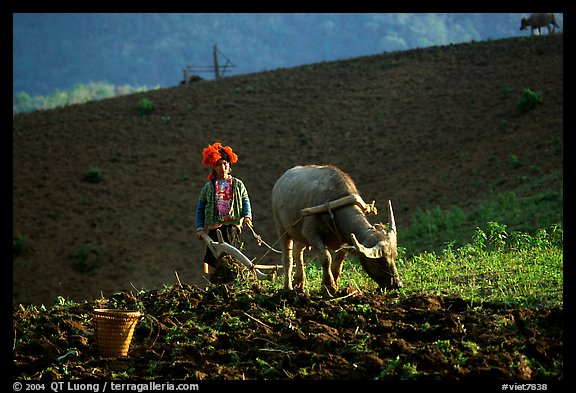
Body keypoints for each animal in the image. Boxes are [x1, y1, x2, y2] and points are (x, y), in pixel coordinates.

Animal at [272, 164, 402, 296]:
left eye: (394, 257)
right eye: (382, 262)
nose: (398, 284)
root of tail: (280, 181)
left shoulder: (345, 240)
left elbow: (339, 261)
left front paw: (334, 283)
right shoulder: (311, 234)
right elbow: (326, 258)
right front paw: (328, 286)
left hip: (300, 236)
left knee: (297, 250)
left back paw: (298, 283)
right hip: (281, 228)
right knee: (287, 258)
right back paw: (288, 288)